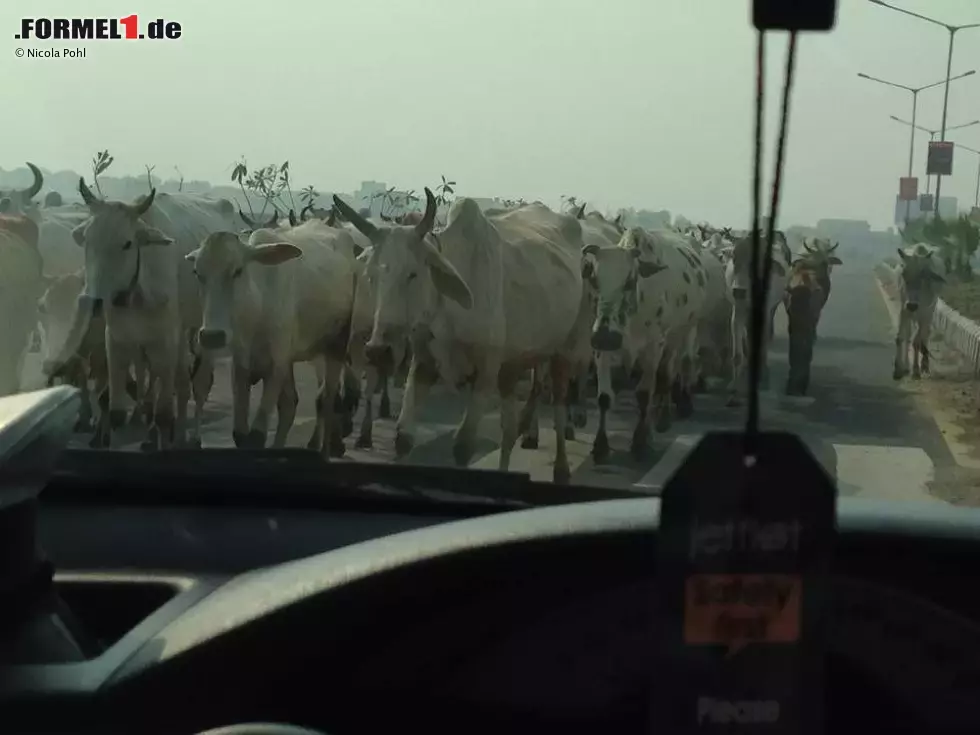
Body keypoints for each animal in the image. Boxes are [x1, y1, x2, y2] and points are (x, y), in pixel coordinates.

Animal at [66, 183, 235, 448]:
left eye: (127, 244)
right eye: (87, 241)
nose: (91, 302)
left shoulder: (164, 343)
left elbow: (164, 413)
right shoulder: (117, 342)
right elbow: (116, 410)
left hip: (200, 331)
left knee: (196, 384)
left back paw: (192, 436)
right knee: (176, 383)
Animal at [186, 217, 358, 454]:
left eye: (238, 270)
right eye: (197, 273)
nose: (212, 336)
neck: (257, 309)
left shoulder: (276, 366)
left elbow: (257, 436)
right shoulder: (242, 366)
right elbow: (241, 434)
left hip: (336, 346)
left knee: (328, 399)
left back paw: (324, 450)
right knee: (290, 404)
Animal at [334, 190, 584, 484]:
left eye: (412, 273)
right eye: (371, 276)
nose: (378, 350)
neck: (445, 309)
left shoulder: (485, 374)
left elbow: (464, 446)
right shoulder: (424, 365)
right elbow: (403, 438)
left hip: (564, 351)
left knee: (559, 406)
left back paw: (562, 468)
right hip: (510, 367)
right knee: (509, 430)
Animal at [724, 229, 792, 402]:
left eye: (756, 263)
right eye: (734, 258)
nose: (739, 291)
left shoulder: (765, 313)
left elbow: (762, 344)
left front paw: (762, 379)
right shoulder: (738, 311)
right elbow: (737, 355)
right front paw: (734, 389)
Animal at [892, 244, 944, 382]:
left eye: (923, 275)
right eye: (904, 273)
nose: (912, 304)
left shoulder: (924, 314)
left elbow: (917, 341)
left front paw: (916, 370)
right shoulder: (904, 310)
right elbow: (900, 337)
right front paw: (898, 369)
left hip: (930, 312)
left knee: (925, 335)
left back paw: (924, 365)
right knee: (909, 336)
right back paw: (906, 367)